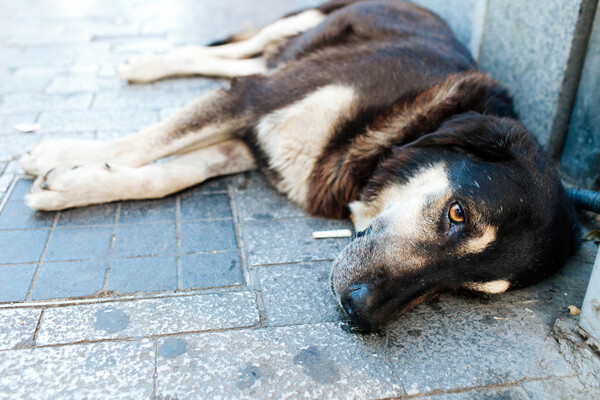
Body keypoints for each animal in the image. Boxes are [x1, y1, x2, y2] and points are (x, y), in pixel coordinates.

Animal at [21, 0, 580, 332]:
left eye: (469, 289)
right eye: (458, 214)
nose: (360, 314)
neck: (399, 129)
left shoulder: (259, 144)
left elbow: (166, 172)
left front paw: (73, 179)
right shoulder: (255, 101)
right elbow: (148, 143)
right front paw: (57, 157)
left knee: (244, 60)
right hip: (302, 22)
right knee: (243, 52)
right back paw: (145, 64)